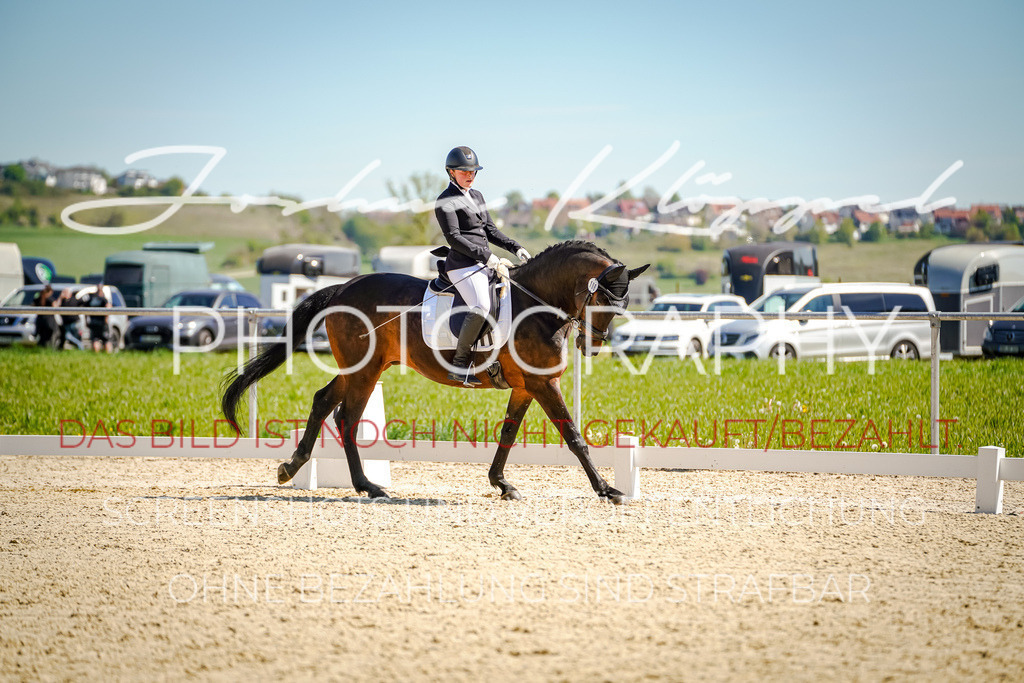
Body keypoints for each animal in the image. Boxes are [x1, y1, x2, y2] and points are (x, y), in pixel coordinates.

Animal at [223, 240, 647, 501]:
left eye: (622, 305)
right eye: (603, 301)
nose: (592, 346)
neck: (537, 305)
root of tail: (343, 287)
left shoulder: (526, 386)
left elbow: (508, 434)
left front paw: (501, 484)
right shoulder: (543, 384)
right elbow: (573, 437)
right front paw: (607, 489)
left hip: (361, 367)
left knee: (323, 401)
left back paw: (291, 468)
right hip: (365, 370)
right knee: (346, 417)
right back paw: (368, 486)